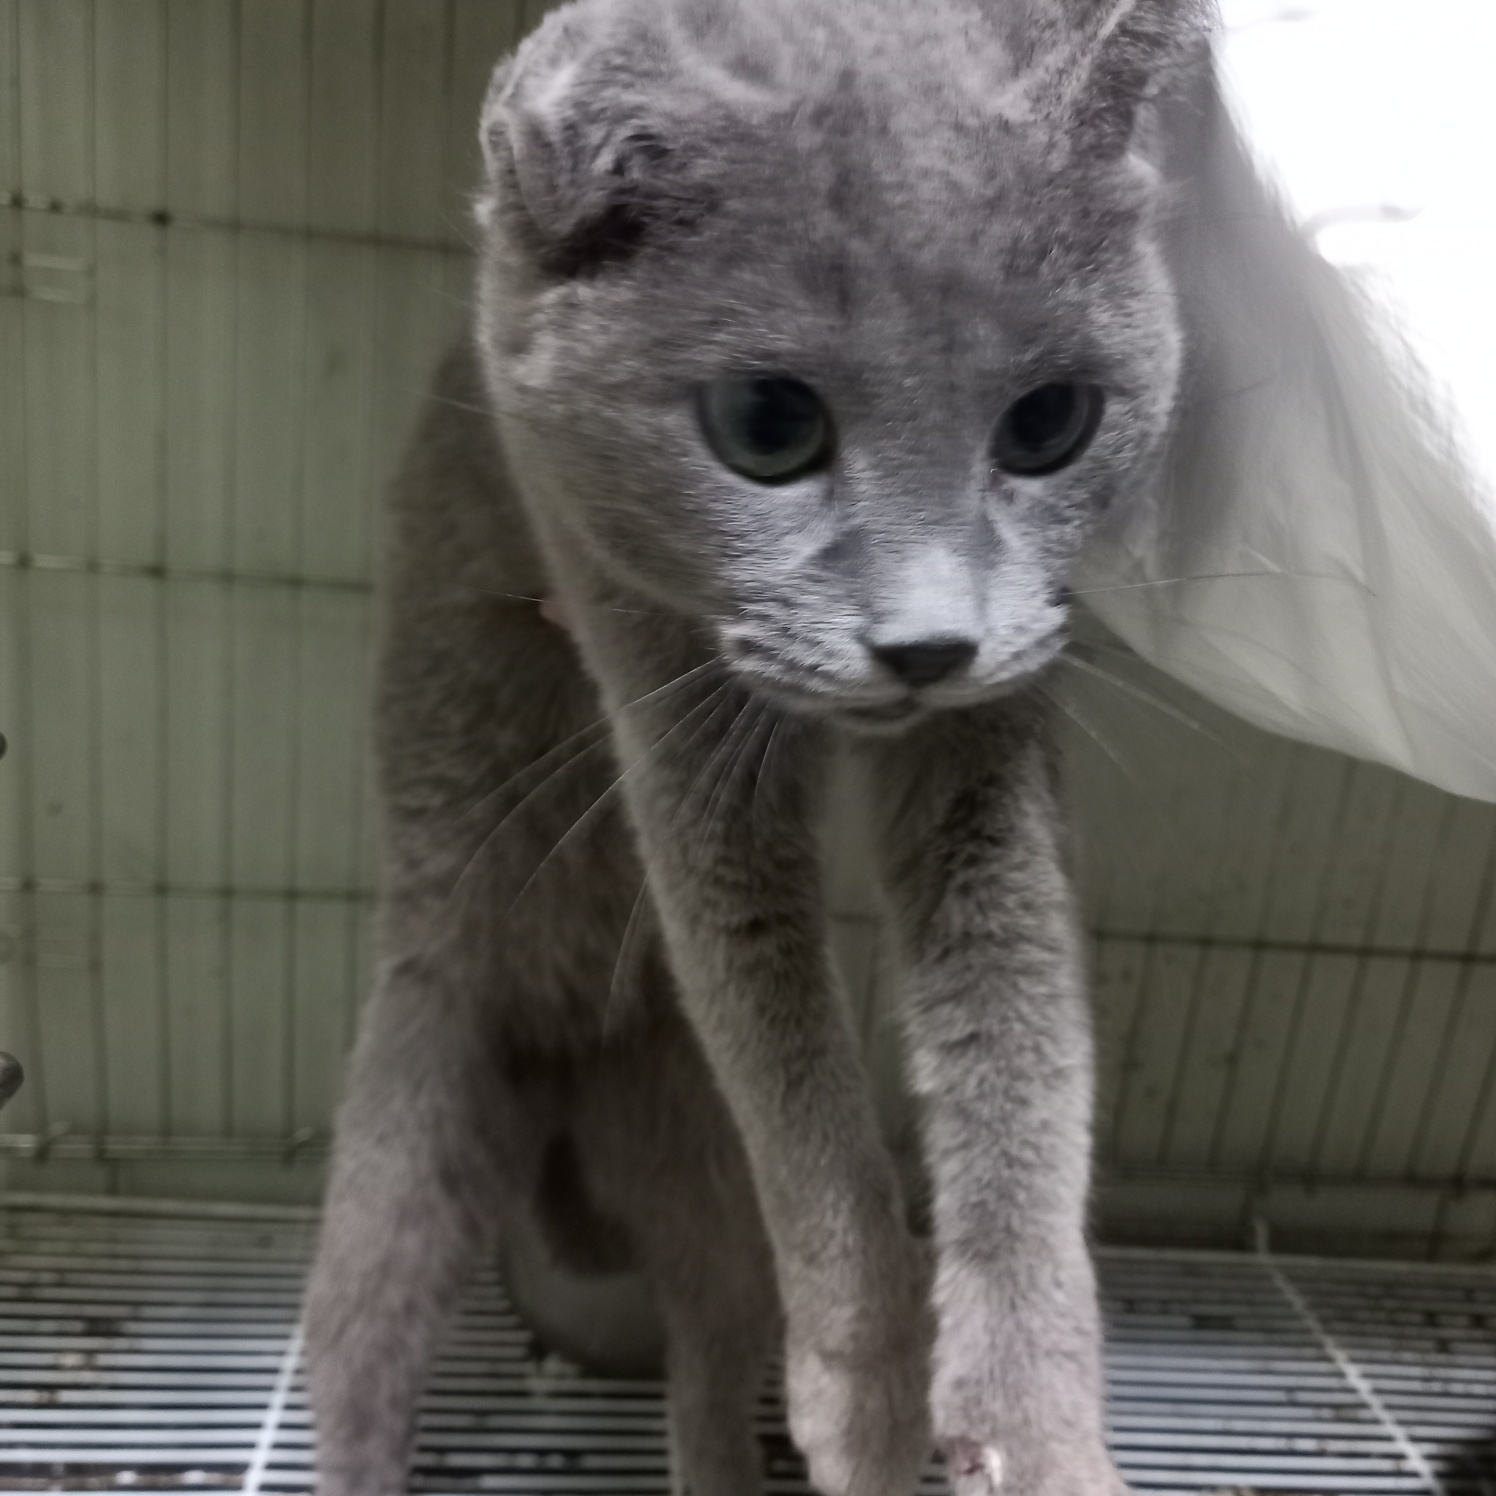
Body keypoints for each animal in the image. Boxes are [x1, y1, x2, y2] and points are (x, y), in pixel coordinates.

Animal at [300, 2, 1214, 1496]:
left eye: (1049, 423)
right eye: (767, 426)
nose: (927, 646)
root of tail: (561, 1066)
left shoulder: (999, 712)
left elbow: (1016, 1031)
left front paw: (1033, 1427)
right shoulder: (642, 652)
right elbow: (773, 1022)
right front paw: (871, 1398)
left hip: (689, 1169)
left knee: (709, 1353)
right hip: (409, 1128)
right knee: (362, 1357)